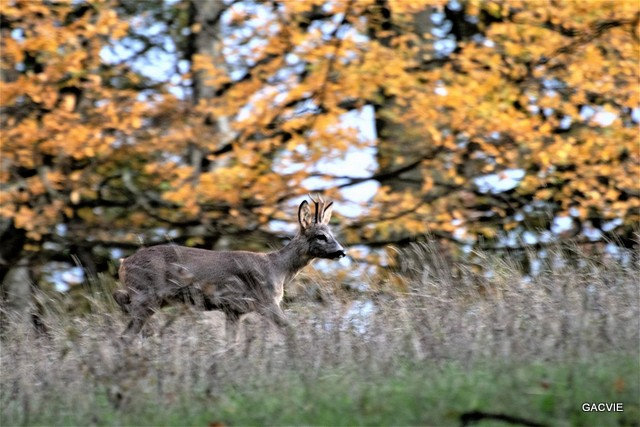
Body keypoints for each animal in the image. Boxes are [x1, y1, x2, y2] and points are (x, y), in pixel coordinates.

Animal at [114, 196, 344, 346]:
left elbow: (231, 344)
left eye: (332, 233)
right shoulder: (266, 300)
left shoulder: (233, 310)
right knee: (125, 335)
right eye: (320, 236)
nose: (341, 251)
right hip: (147, 294)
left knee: (121, 302)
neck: (277, 268)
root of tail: (123, 263)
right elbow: (291, 330)